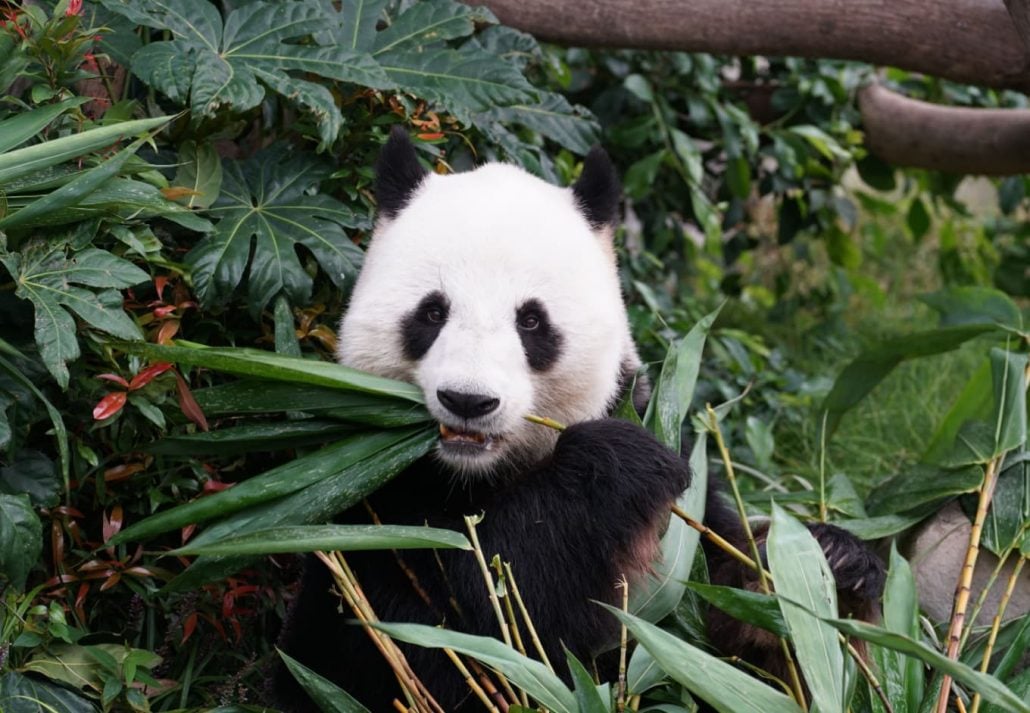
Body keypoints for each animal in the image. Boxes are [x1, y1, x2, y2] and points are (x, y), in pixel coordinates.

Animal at [273, 129, 885, 713]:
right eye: (431, 312)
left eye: (531, 321)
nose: (468, 400)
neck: (480, 471)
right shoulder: (370, 497)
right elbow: (457, 629)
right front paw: (620, 463)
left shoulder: (673, 483)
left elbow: (727, 635)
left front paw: (828, 570)